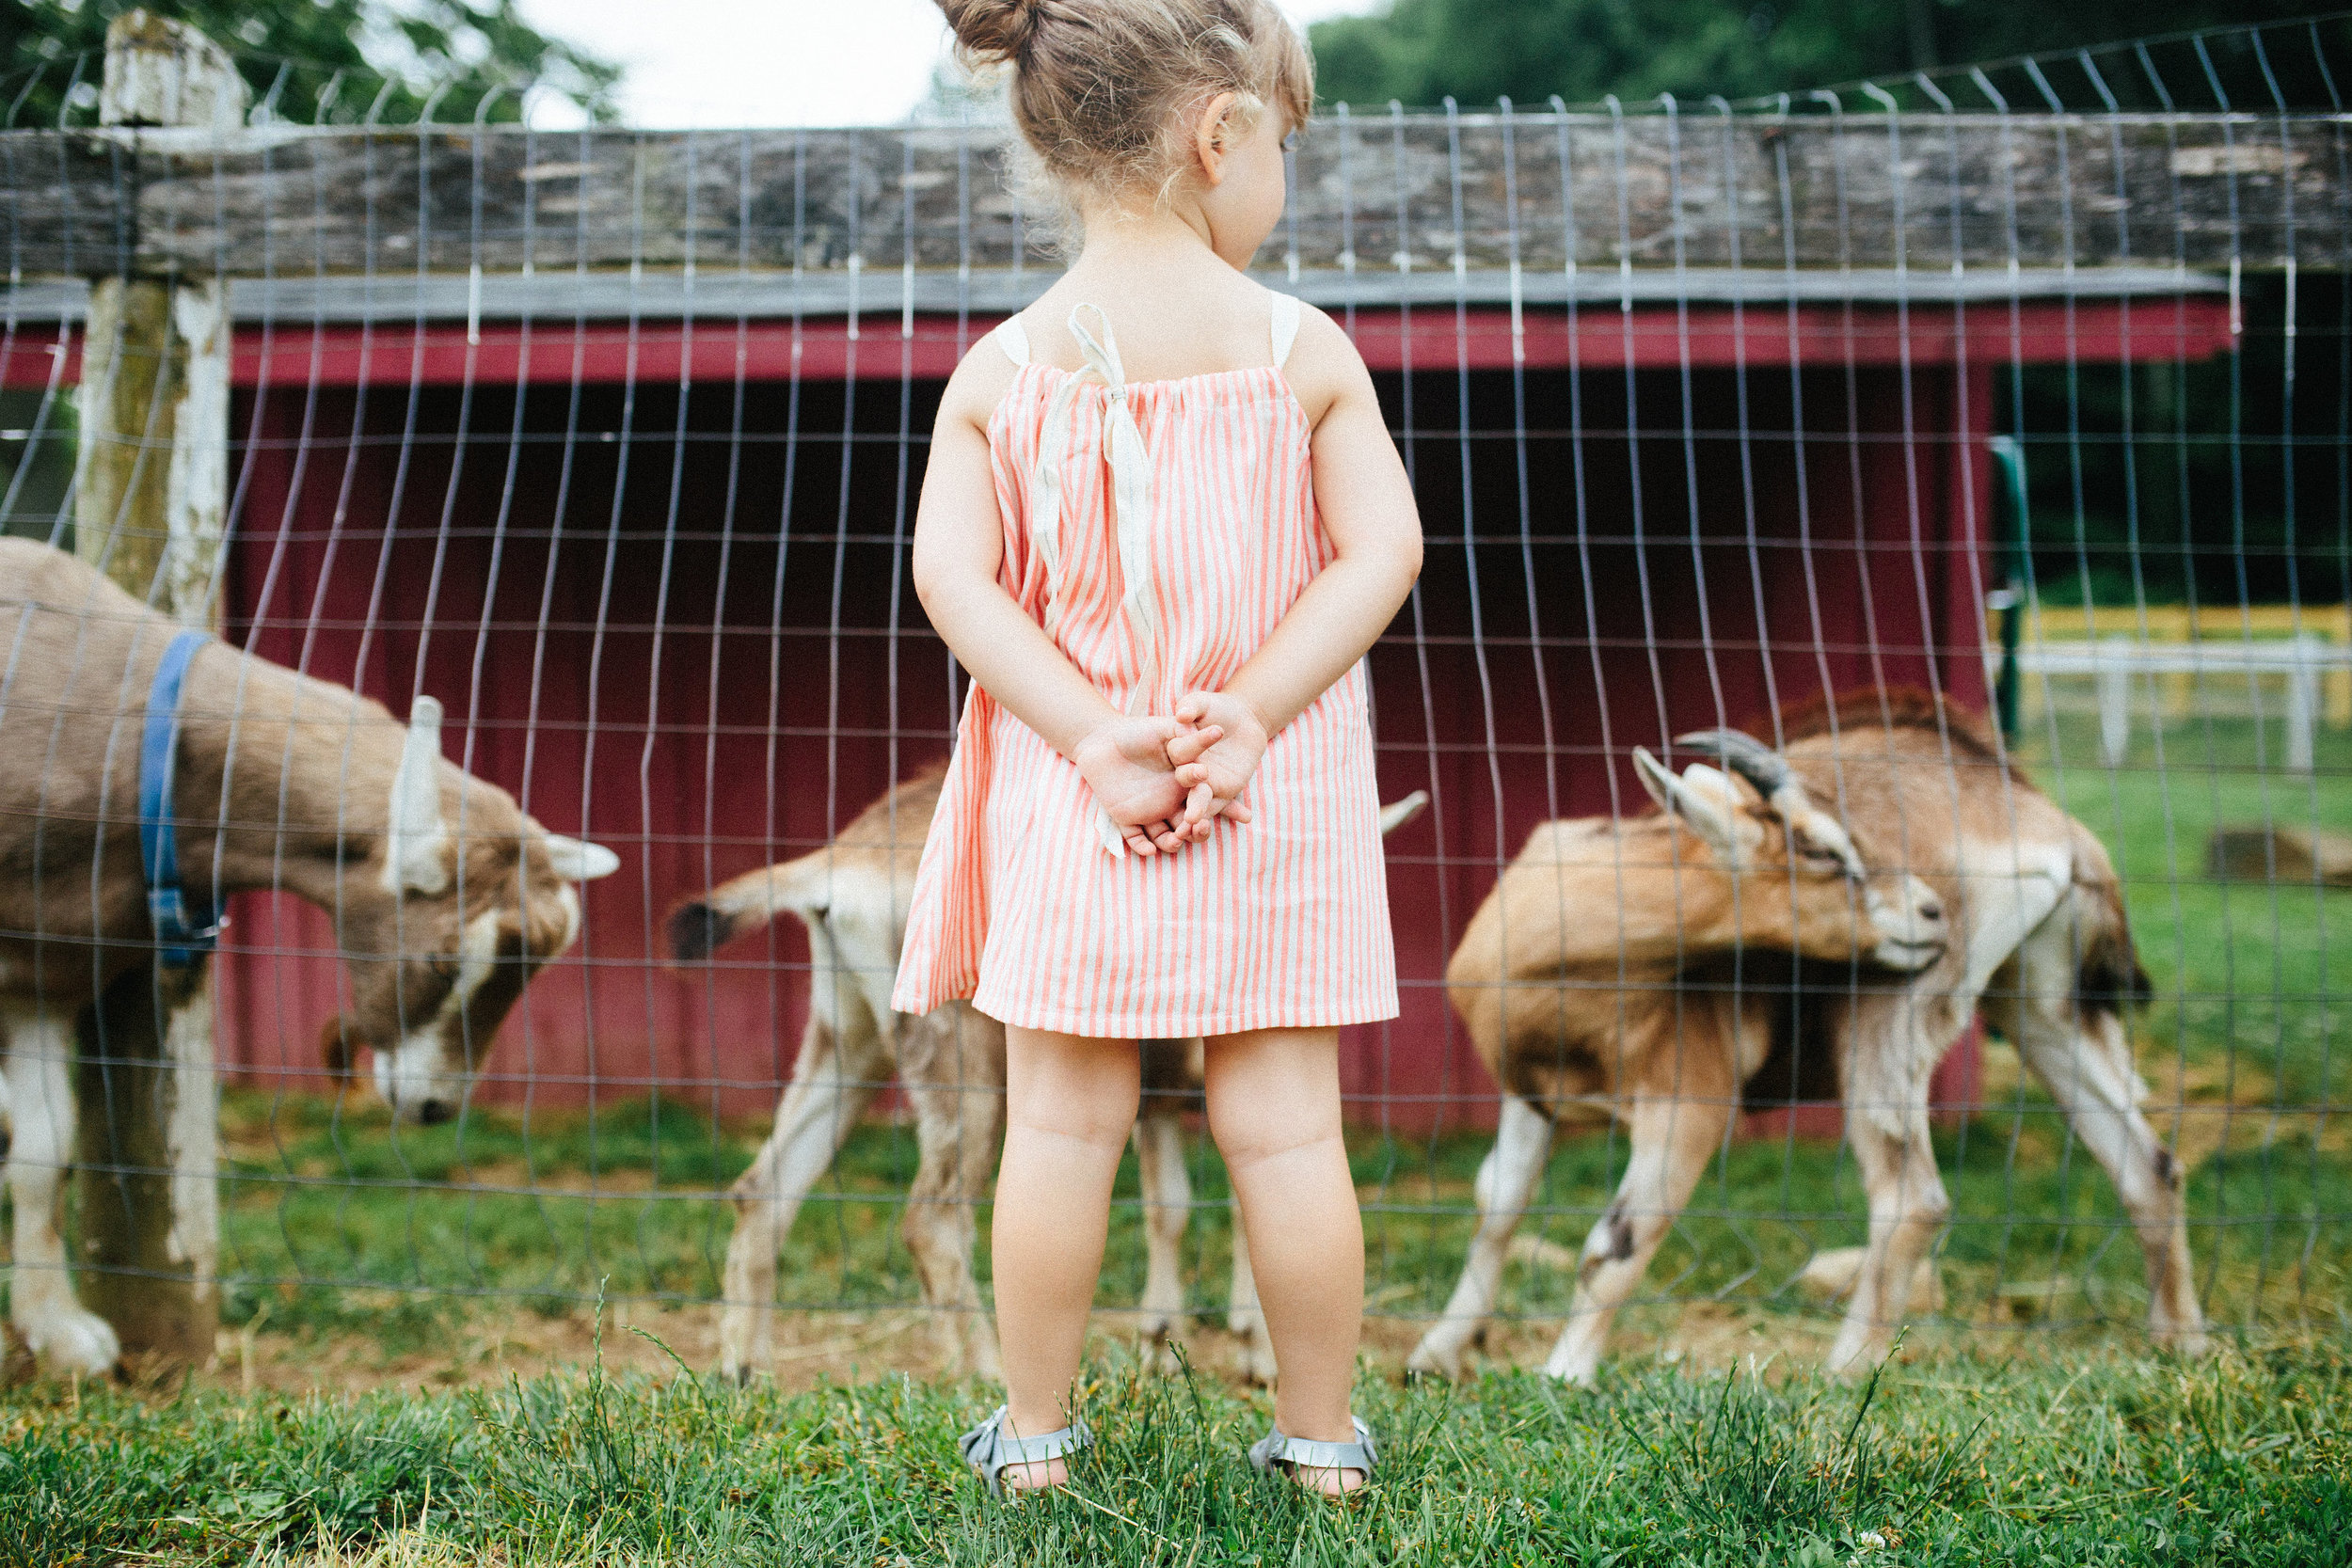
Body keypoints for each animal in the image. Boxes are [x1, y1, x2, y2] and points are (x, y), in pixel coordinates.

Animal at [673, 770, 1421, 1382]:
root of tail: (838, 868)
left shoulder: (1157, 1093)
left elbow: (1173, 1209)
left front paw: (1160, 1345)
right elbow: (1238, 1205)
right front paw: (1254, 1355)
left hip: (848, 1044)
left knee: (761, 1189)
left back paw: (747, 1369)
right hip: (964, 1066)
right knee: (930, 1218)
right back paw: (985, 1371)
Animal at [1392, 690, 2201, 1382]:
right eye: (1822, 851)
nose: (1929, 912)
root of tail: (2048, 827)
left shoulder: (1689, 1102)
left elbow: (1619, 1238)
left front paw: (1564, 1374)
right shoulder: (1530, 1097)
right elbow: (1498, 1205)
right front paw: (1434, 1355)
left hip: (1892, 1010)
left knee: (1912, 1196)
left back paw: (1845, 1368)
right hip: (2043, 1005)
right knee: (2149, 1165)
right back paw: (2179, 1345)